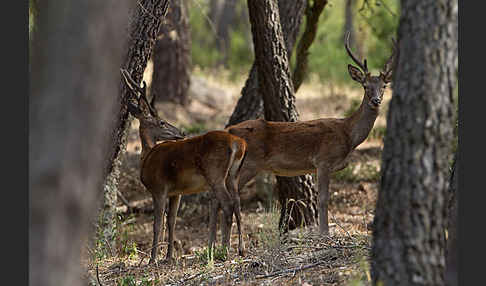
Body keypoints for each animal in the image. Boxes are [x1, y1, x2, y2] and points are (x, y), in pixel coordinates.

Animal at [119, 67, 245, 264]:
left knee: (228, 204)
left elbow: (157, 224)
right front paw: (169, 256)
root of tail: (238, 143)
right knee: (238, 204)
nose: (182, 132)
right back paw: (240, 249)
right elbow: (172, 221)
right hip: (233, 175)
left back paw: (225, 251)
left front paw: (152, 259)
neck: (147, 156)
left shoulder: (158, 187)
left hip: (215, 174)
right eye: (162, 122)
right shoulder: (176, 192)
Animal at [226, 33, 396, 235]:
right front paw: (324, 233)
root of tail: (229, 130)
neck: (348, 134)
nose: (376, 100)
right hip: (249, 163)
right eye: (365, 86)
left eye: (384, 85)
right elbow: (323, 199)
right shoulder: (324, 160)